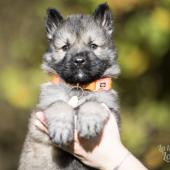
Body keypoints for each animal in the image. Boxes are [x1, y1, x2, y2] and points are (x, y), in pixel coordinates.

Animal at [18, 2, 119, 170]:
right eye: (65, 47)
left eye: (93, 45)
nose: (79, 60)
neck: (78, 87)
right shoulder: (39, 119)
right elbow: (59, 104)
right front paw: (61, 128)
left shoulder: (112, 111)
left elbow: (94, 103)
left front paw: (89, 121)